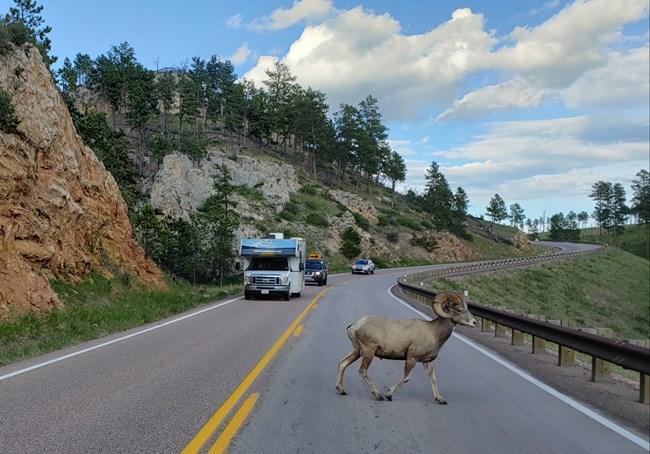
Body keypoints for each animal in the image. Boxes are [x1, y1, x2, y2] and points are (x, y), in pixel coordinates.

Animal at [335, 290, 477, 403]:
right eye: (459, 310)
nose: (474, 322)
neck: (434, 332)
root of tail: (354, 325)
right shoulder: (411, 358)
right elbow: (406, 378)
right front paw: (389, 394)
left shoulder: (426, 362)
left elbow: (432, 377)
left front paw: (440, 399)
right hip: (368, 352)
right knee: (362, 370)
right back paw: (378, 395)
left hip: (357, 351)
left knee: (343, 363)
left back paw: (341, 390)